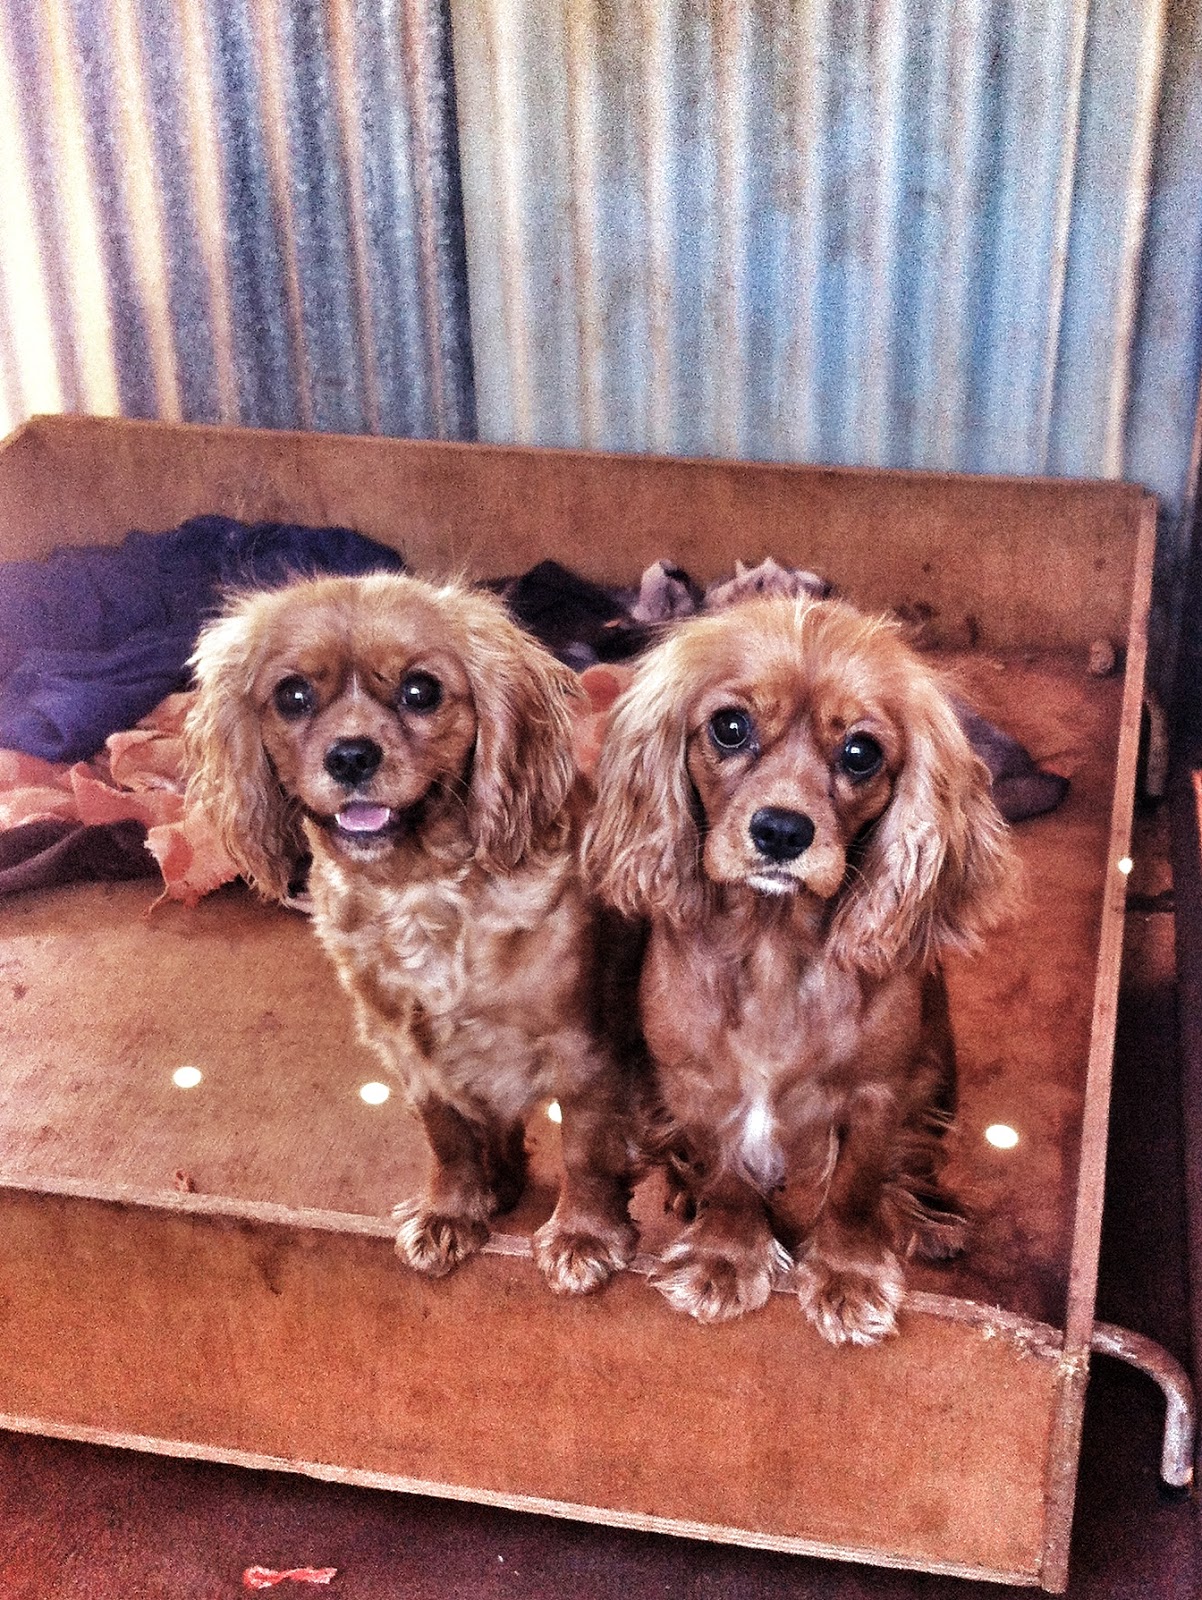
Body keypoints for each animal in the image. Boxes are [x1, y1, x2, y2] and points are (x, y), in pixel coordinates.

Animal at [185, 571, 638, 1295]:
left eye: (420, 690)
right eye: (292, 695)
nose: (350, 756)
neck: (419, 889)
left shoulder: (585, 1054)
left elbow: (587, 1153)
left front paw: (583, 1235)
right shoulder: (415, 1056)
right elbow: (448, 1142)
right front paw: (451, 1213)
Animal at [583, 593, 1017, 1344]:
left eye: (861, 752)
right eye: (729, 727)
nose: (782, 831)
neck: (772, 948)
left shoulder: (875, 1095)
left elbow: (853, 1191)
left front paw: (847, 1276)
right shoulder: (699, 1088)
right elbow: (726, 1177)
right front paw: (724, 1258)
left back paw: (925, 1217)